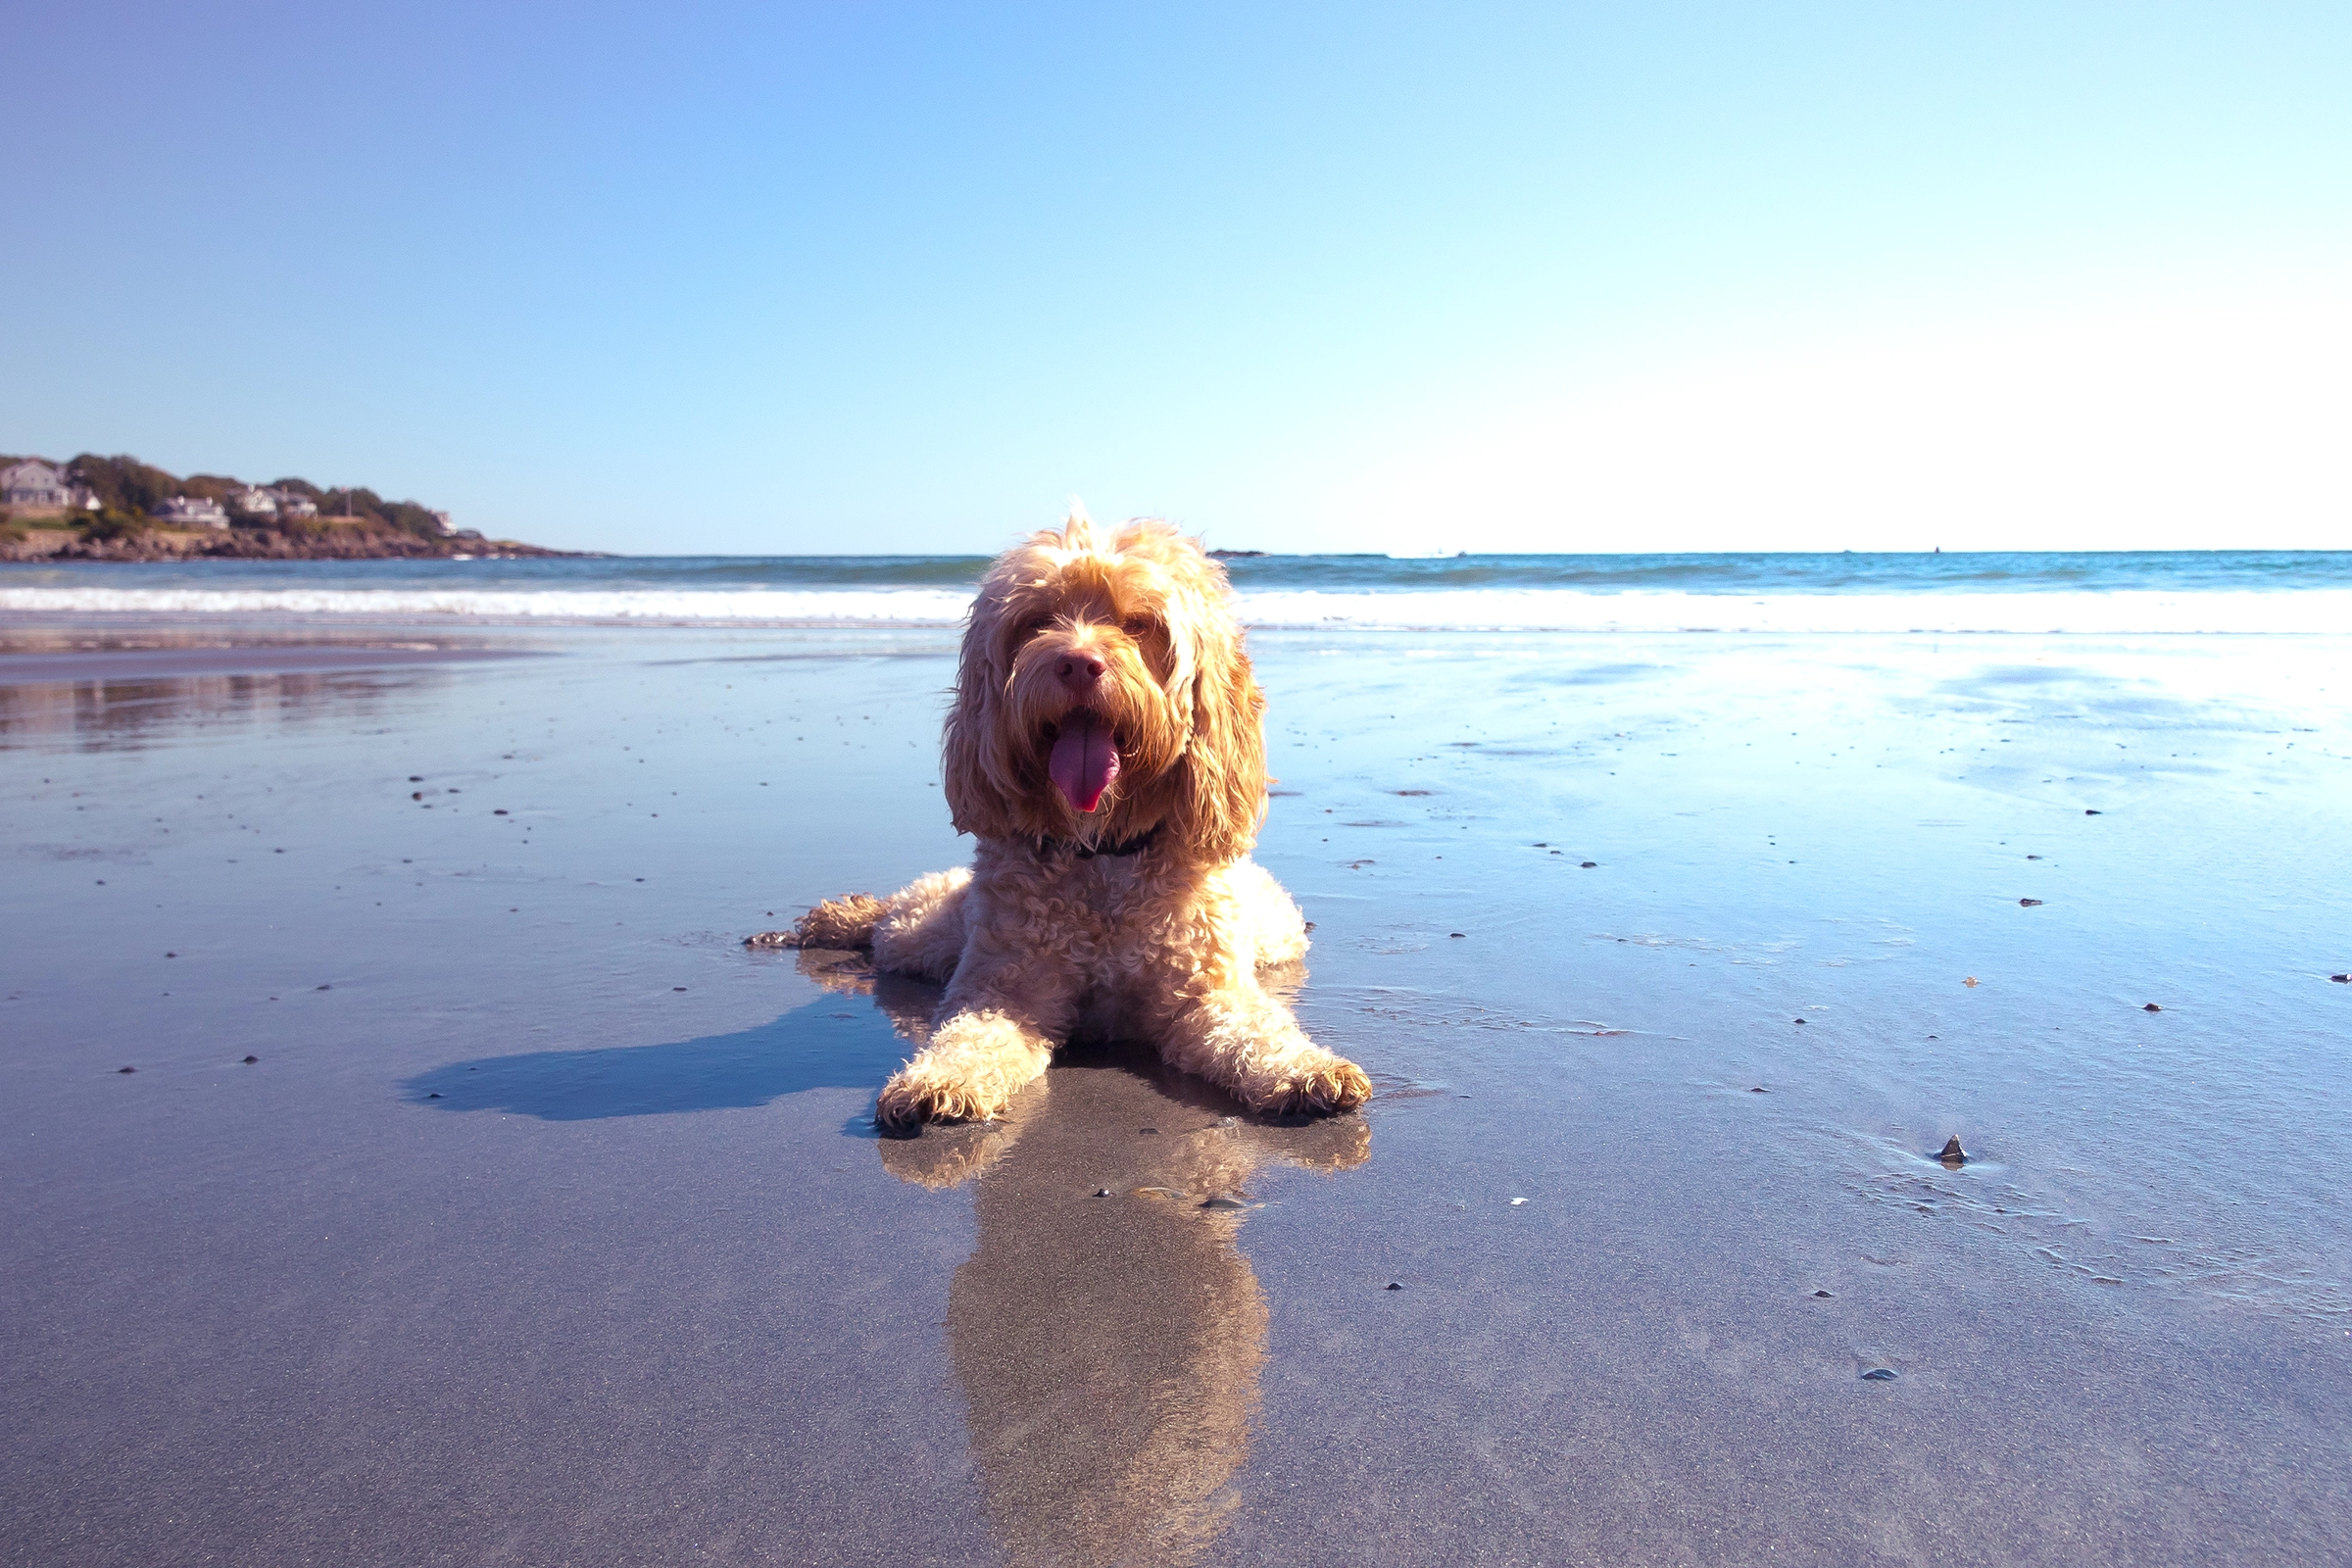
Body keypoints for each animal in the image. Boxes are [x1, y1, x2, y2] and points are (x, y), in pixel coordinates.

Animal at [753, 514, 1373, 1128]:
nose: (1077, 664)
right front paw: (938, 1078)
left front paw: (1307, 1068)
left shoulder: (1207, 993)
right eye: (1037, 620)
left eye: (1139, 623)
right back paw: (833, 920)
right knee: (893, 918)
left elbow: (1257, 1030)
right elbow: (969, 1036)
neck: (1101, 851)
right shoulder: (1006, 987)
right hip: (928, 933)